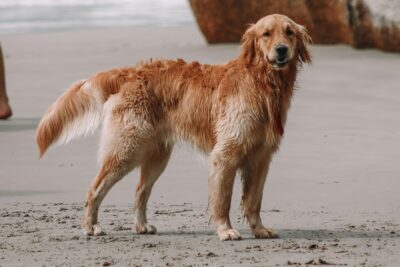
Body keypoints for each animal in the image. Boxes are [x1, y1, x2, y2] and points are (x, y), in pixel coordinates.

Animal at [36, 14, 312, 241]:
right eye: (266, 34)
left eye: (289, 32)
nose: (281, 50)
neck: (262, 83)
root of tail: (131, 71)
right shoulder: (226, 154)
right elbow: (223, 200)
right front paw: (225, 230)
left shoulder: (262, 157)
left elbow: (254, 201)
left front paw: (260, 229)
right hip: (126, 150)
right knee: (95, 188)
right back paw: (91, 226)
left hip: (157, 156)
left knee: (140, 191)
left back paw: (142, 226)